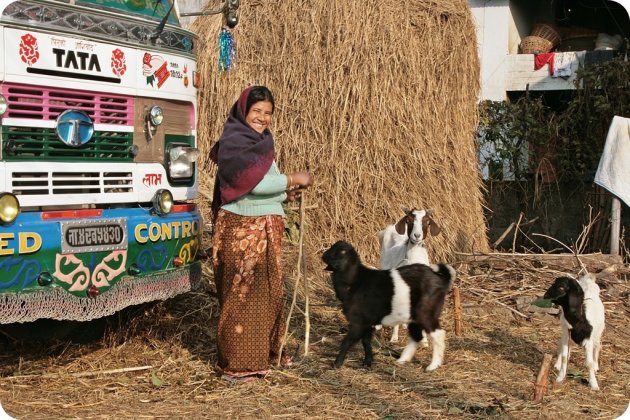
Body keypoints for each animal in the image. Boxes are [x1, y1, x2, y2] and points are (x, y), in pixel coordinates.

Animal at [324, 241, 456, 370]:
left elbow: (347, 341)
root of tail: (441, 279)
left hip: (426, 313)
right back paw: (402, 360)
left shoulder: (358, 321)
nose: (324, 255)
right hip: (414, 317)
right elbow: (366, 341)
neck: (356, 280)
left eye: (342, 251)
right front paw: (367, 363)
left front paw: (336, 364)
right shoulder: (368, 322)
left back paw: (433, 365)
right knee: (416, 336)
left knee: (438, 334)